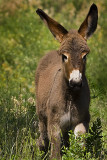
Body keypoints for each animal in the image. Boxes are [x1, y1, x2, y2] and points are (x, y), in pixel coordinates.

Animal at [35, 3, 98, 160]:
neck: (71, 96)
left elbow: (79, 144)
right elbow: (55, 149)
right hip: (41, 114)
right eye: (64, 56)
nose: (75, 82)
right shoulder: (54, 123)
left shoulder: (82, 120)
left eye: (85, 56)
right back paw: (40, 149)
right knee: (43, 137)